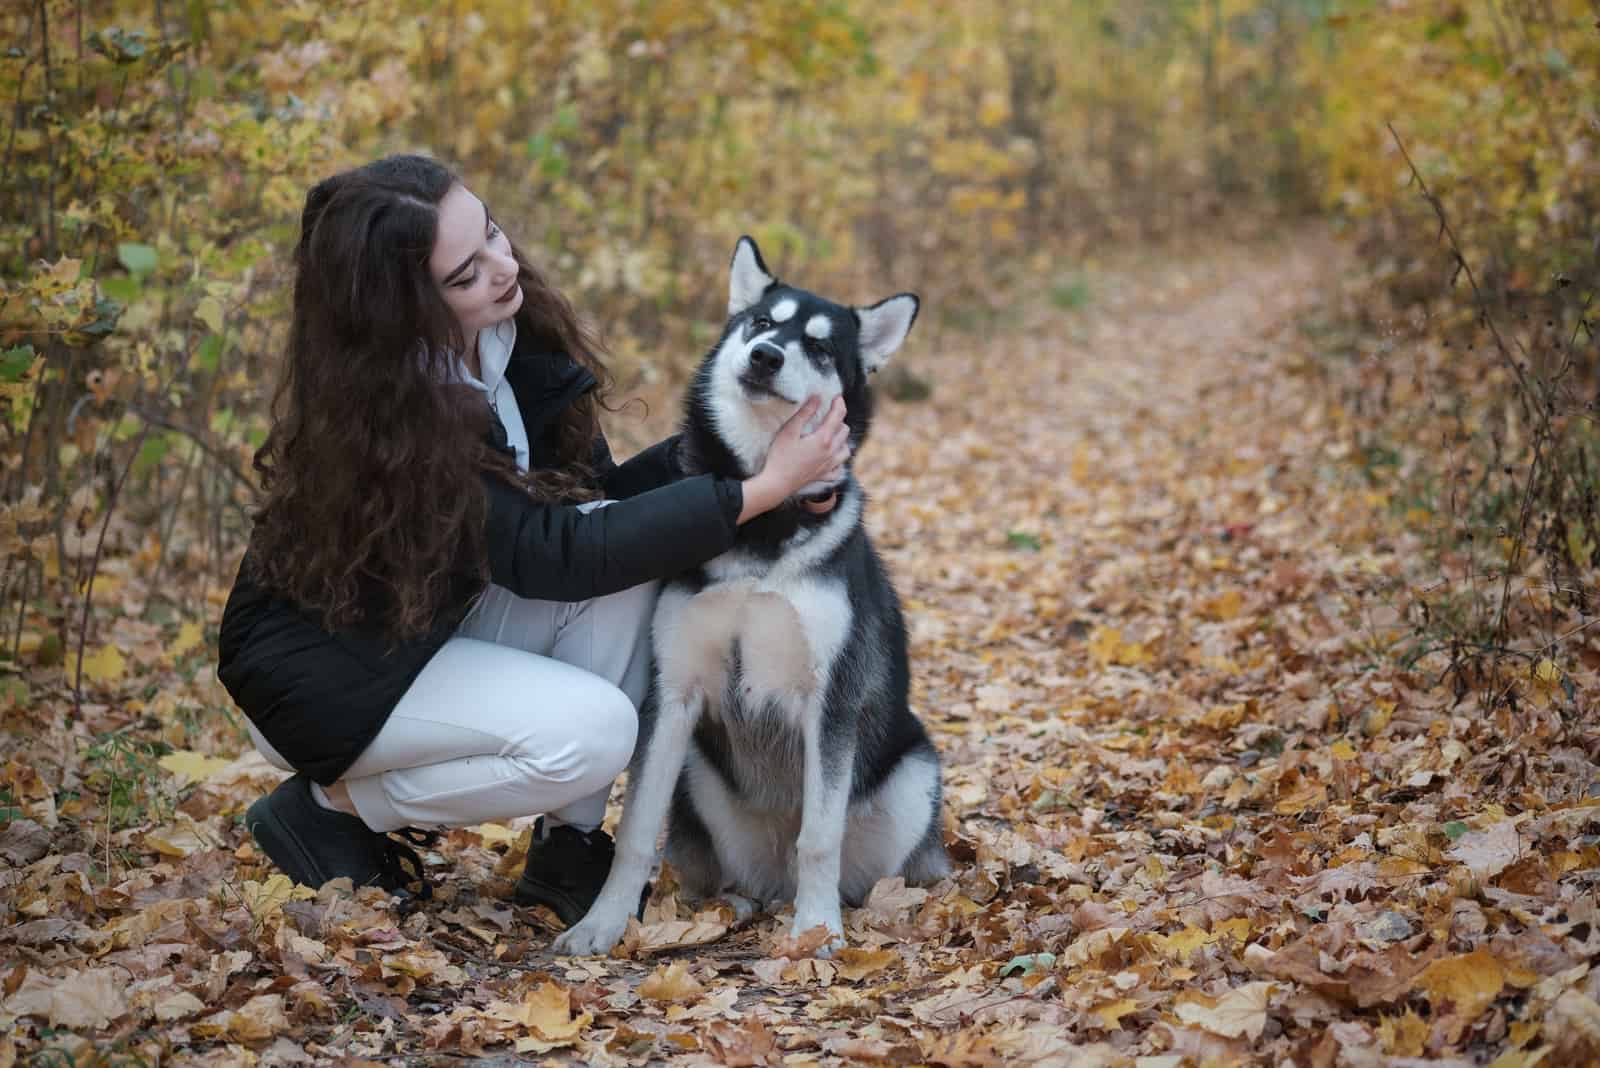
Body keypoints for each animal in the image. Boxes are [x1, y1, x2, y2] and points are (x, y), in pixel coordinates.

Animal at [553, 238, 947, 952]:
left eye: (819, 346)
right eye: (763, 323)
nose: (766, 355)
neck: (759, 514)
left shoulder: (830, 699)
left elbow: (819, 837)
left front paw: (817, 932)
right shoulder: (673, 691)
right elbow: (635, 833)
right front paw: (604, 922)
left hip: (913, 773)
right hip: (700, 777)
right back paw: (726, 907)